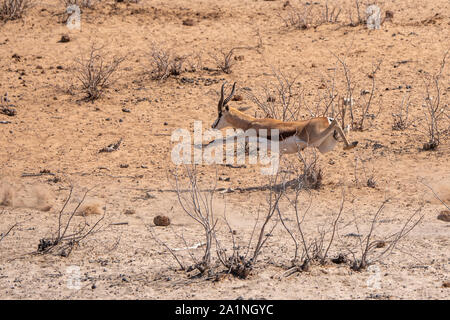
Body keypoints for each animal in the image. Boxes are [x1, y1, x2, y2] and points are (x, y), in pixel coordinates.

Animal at [212, 82, 358, 153]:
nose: (213, 125)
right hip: (323, 147)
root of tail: (327, 119)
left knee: (337, 122)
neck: (252, 122)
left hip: (315, 138)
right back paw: (351, 143)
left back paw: (350, 145)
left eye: (219, 113)